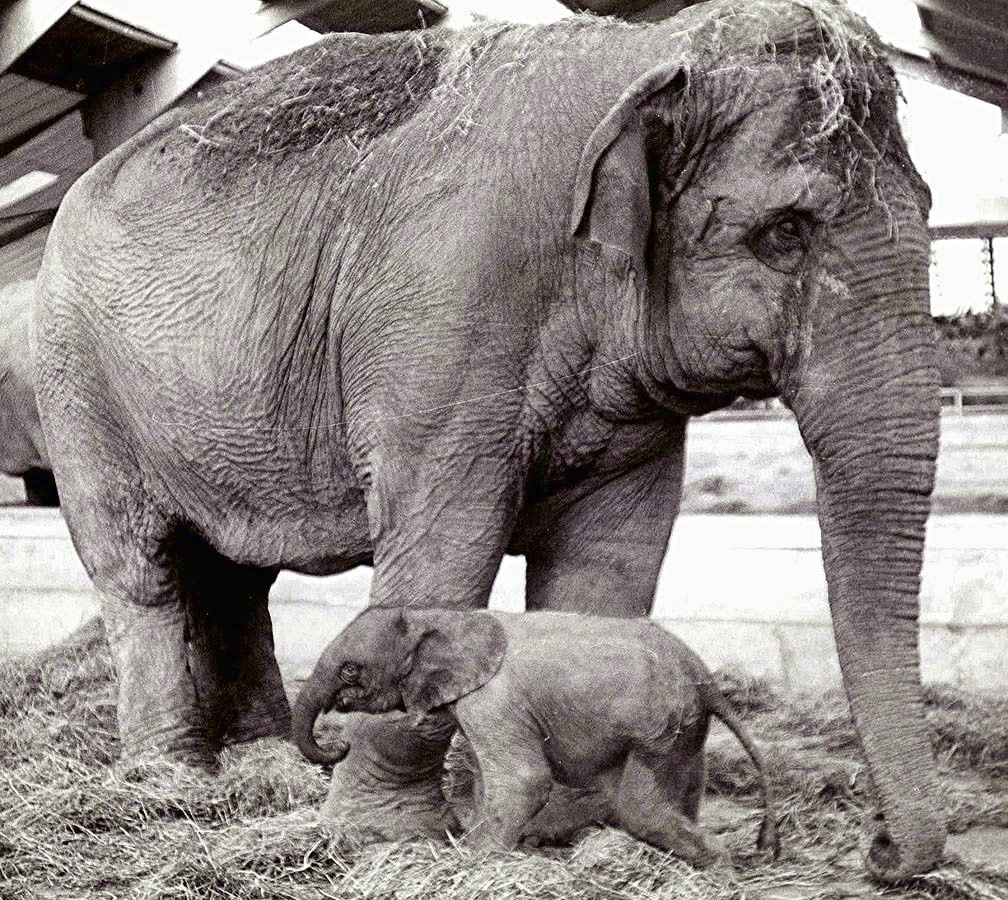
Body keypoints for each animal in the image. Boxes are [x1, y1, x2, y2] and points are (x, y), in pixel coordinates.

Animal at [292, 604, 778, 862]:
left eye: (351, 671)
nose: (339, 743)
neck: (443, 616)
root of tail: (705, 678)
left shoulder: (494, 700)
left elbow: (523, 779)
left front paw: (471, 859)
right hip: (684, 727)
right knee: (683, 790)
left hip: (658, 725)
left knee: (639, 808)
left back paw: (721, 871)